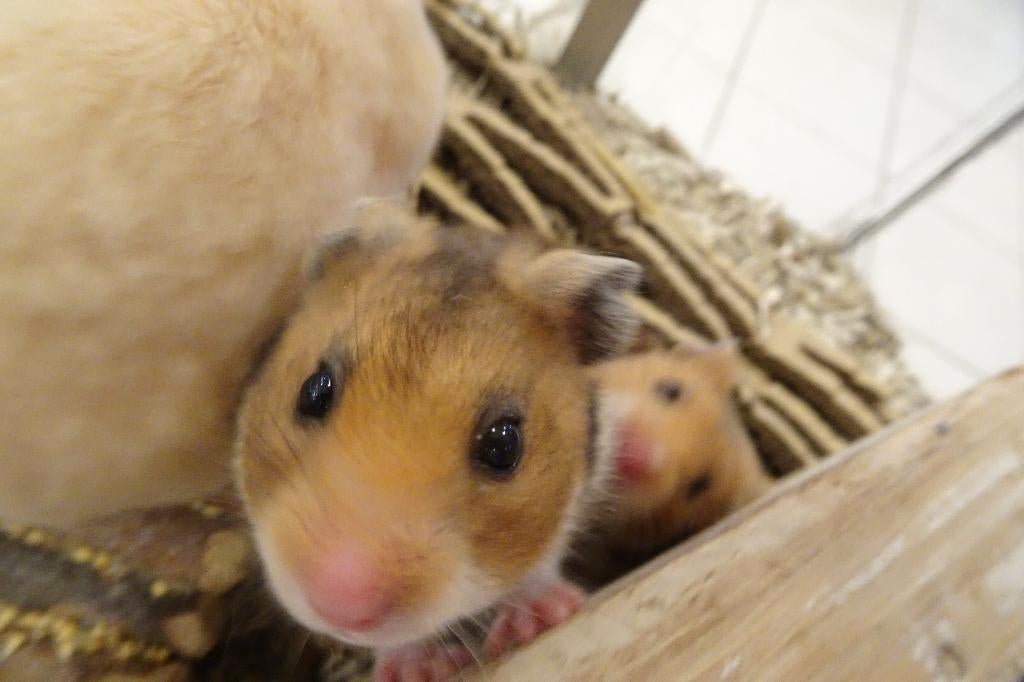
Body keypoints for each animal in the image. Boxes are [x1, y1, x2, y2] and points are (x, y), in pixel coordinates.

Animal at [233, 202, 642, 681]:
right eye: (313, 391)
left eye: (505, 446)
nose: (339, 605)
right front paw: (420, 671)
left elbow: (540, 566)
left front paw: (538, 621)